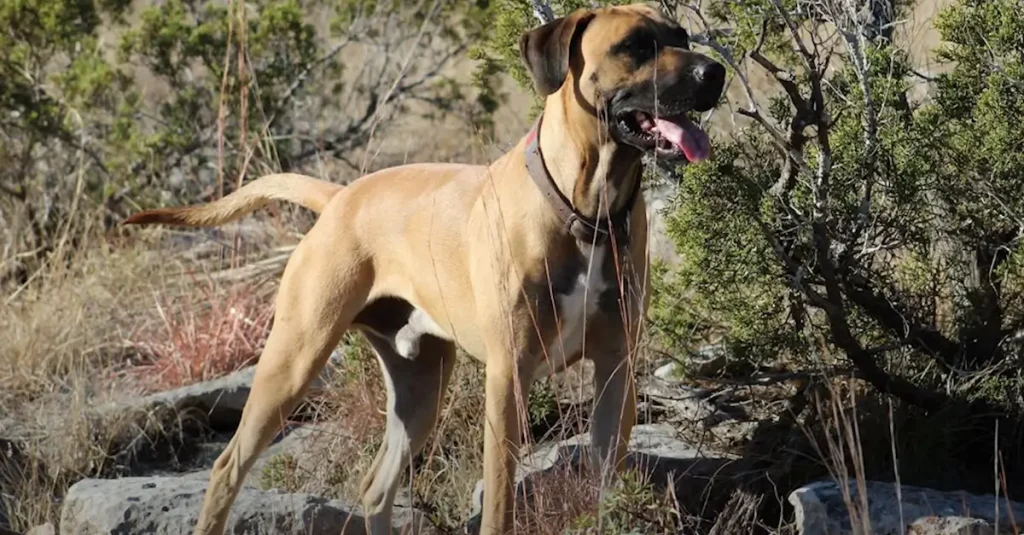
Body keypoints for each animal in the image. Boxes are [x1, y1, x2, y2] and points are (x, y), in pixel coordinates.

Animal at [121, 3, 729, 528]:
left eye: (681, 36)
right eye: (635, 46)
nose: (715, 71)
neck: (585, 208)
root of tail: (340, 197)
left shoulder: (615, 371)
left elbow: (605, 481)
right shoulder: (508, 377)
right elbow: (499, 504)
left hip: (420, 387)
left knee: (374, 487)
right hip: (293, 360)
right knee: (227, 468)